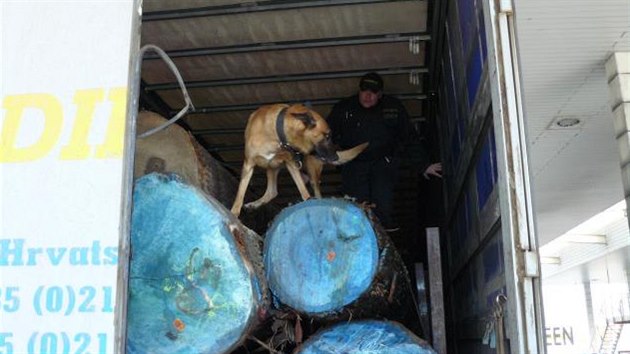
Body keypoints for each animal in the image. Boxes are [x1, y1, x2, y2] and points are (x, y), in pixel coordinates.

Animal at [232, 103, 370, 216]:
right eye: (327, 136)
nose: (335, 156)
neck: (277, 135)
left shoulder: (291, 163)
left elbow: (304, 192)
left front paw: (308, 201)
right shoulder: (248, 164)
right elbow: (240, 194)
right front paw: (234, 213)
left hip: (310, 169)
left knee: (313, 189)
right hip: (271, 167)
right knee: (272, 191)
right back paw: (253, 205)